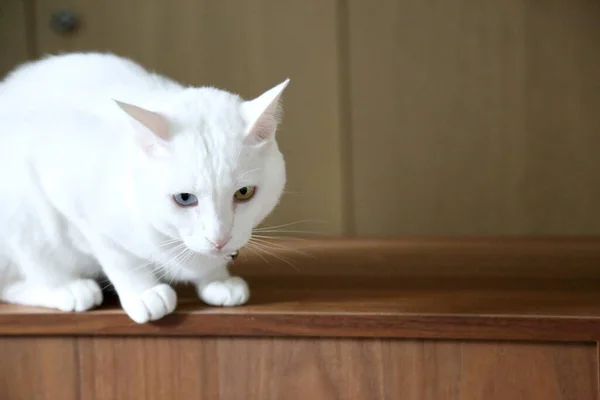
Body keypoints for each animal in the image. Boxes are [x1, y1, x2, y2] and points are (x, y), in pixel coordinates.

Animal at [0, 52, 288, 322]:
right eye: (184, 198)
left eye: (244, 193)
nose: (219, 240)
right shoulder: (73, 206)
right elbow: (120, 257)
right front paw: (144, 292)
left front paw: (217, 279)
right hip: (22, 210)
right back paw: (68, 289)